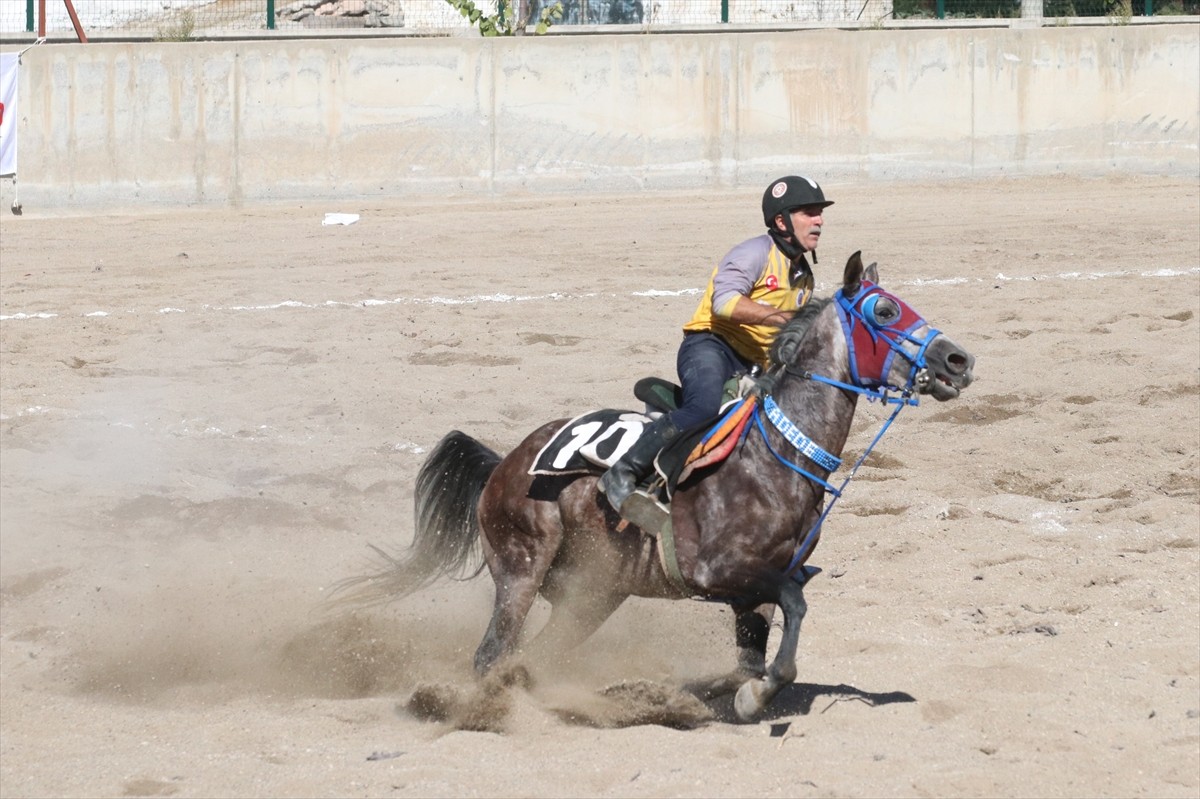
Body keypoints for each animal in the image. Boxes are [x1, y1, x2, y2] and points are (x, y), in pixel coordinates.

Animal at [350, 251, 974, 719]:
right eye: (884, 309)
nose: (958, 359)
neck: (775, 456)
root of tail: (507, 462)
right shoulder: (721, 573)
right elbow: (794, 610)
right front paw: (749, 697)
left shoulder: (756, 591)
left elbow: (751, 660)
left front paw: (735, 694)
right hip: (521, 570)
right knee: (491, 655)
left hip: (591, 596)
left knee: (533, 657)